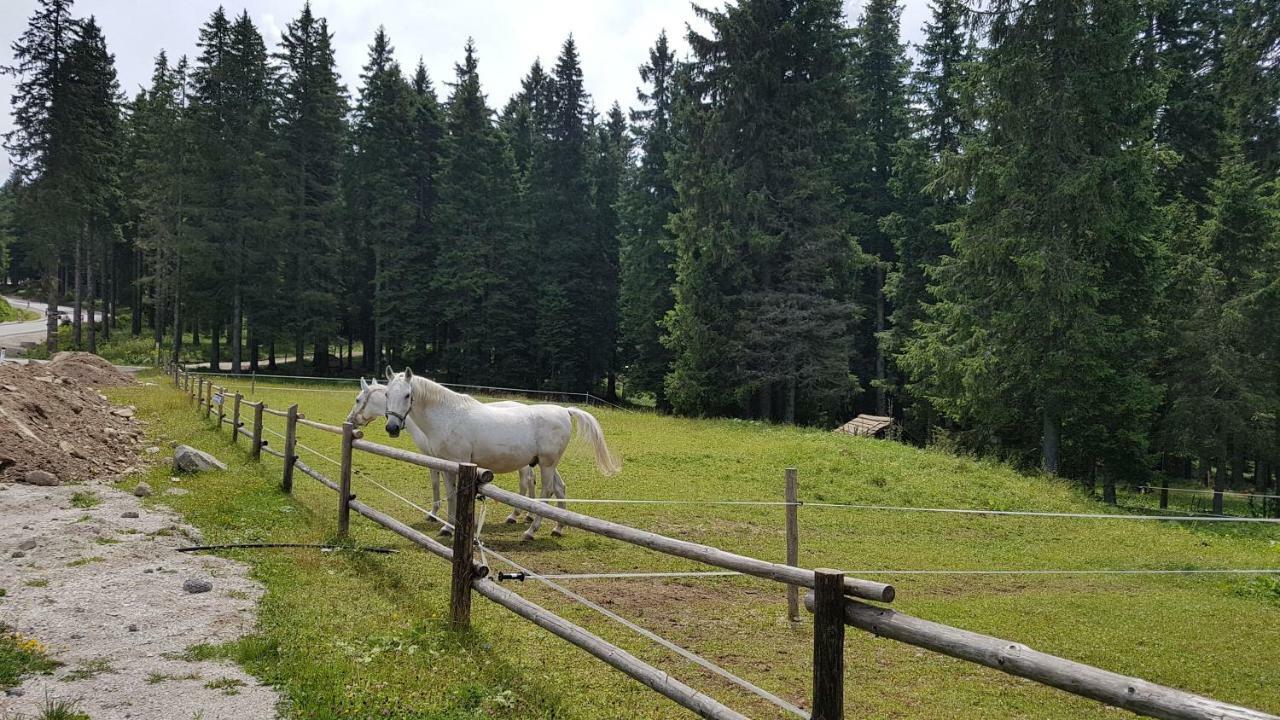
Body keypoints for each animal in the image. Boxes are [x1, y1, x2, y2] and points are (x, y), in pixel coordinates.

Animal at [345, 379, 535, 530]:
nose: (350, 419)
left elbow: (437, 484)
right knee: (531, 480)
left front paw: (434, 514)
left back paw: (517, 514)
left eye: (358, 399)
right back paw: (528, 515)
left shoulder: (437, 458)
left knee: (525, 480)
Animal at [378, 366, 619, 535]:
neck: (448, 415)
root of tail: (565, 411)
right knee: (560, 488)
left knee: (547, 491)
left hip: (547, 464)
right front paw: (447, 527)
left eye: (407, 395)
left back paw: (531, 531)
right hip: (546, 463)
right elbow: (449, 494)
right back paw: (558, 528)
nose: (392, 427)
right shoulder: (446, 465)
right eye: (387, 394)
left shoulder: (459, 462)